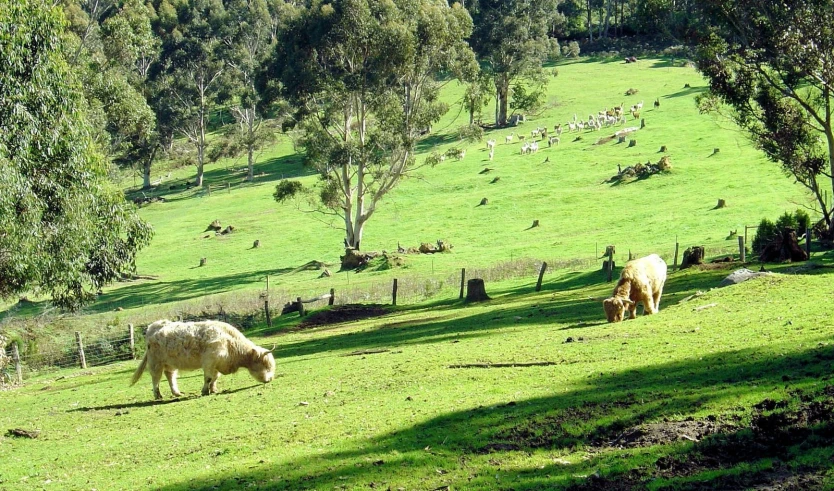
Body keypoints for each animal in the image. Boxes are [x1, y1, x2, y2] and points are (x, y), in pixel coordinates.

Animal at [128, 320, 274, 402]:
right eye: (265, 366)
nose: (270, 379)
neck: (231, 344)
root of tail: (153, 326)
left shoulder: (216, 365)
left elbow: (215, 378)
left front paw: (213, 389)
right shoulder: (209, 362)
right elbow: (208, 378)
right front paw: (205, 391)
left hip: (169, 364)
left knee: (170, 376)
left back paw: (176, 392)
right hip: (155, 363)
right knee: (156, 379)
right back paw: (158, 395)